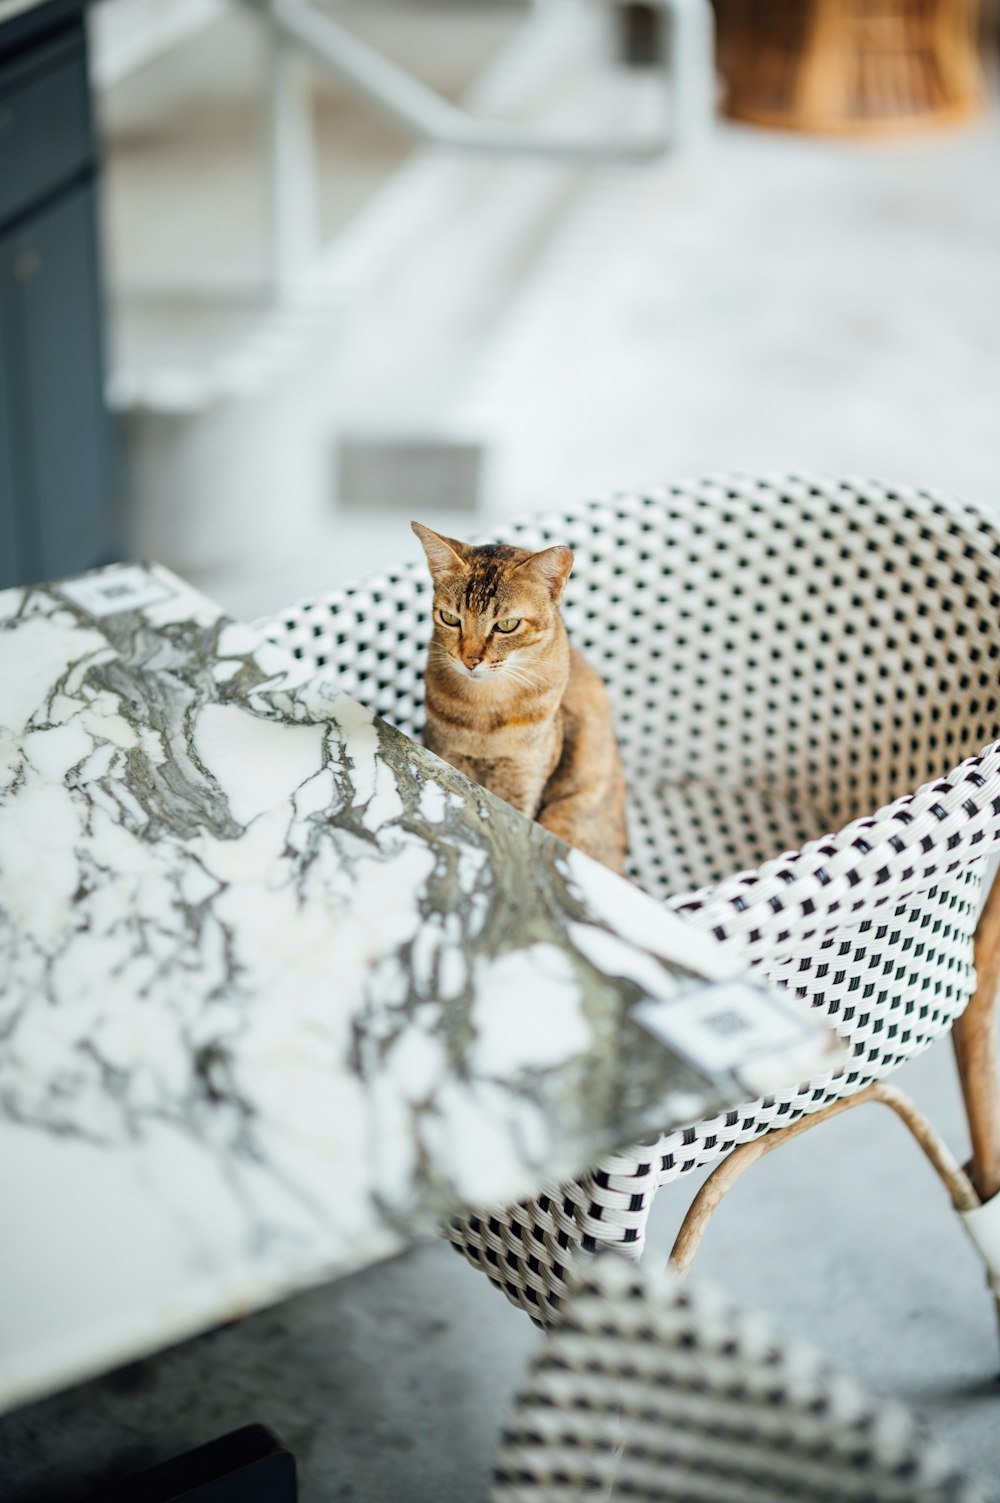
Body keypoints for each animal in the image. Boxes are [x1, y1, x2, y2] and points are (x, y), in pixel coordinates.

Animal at [412, 523, 625, 877]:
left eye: (507, 625)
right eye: (450, 618)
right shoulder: (448, 756)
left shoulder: (524, 779)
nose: (469, 660)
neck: (484, 714)